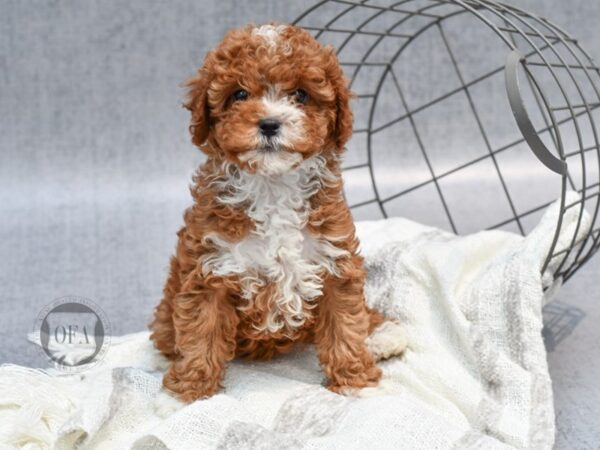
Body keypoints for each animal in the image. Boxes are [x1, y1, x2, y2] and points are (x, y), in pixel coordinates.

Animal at [149, 22, 408, 400]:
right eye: (239, 95)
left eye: (300, 94)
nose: (270, 123)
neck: (273, 185)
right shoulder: (208, 267)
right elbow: (201, 332)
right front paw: (188, 392)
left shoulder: (334, 258)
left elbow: (345, 323)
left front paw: (355, 382)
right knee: (167, 329)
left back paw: (383, 336)